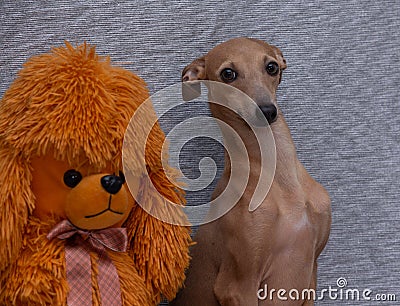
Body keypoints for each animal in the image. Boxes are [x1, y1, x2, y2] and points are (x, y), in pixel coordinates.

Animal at [172, 38, 332, 306]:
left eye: (271, 67)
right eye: (228, 73)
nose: (267, 111)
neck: (281, 179)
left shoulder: (311, 275)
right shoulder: (238, 285)